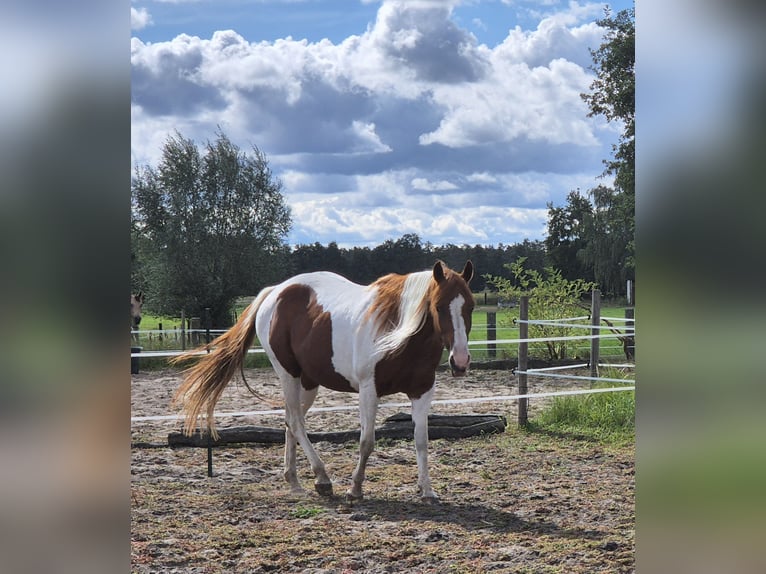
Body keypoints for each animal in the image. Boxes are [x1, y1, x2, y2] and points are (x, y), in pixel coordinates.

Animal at [172, 260, 474, 501]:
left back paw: (295, 481)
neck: (399, 332)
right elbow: (367, 441)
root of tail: (275, 291)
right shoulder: (368, 390)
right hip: (288, 375)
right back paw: (322, 478)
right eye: (438, 306)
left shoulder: (423, 391)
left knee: (290, 421)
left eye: (470, 306)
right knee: (296, 422)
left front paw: (427, 491)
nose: (460, 362)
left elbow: (421, 440)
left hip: (308, 382)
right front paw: (355, 489)